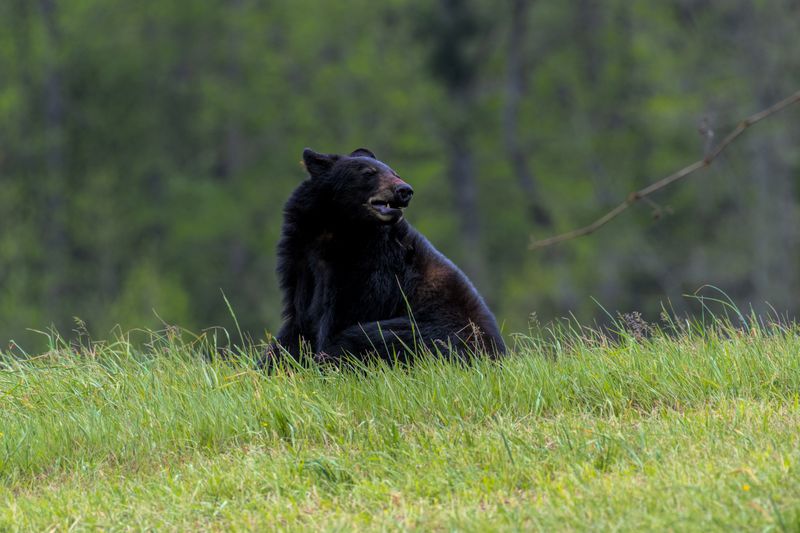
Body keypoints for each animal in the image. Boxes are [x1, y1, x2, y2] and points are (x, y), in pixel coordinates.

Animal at [269, 147, 505, 365]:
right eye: (368, 172)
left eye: (395, 172)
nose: (404, 190)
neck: (337, 231)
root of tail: (497, 355)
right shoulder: (301, 260)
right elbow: (298, 320)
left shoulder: (374, 267)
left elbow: (348, 313)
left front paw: (320, 360)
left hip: (431, 333)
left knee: (369, 337)